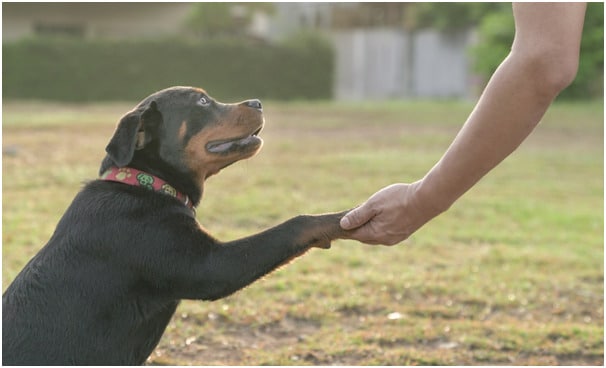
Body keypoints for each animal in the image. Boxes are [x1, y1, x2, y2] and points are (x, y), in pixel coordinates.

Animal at [2, 86, 352, 366]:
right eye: (202, 101)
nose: (257, 102)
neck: (148, 184)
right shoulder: (211, 266)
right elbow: (295, 225)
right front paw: (343, 218)